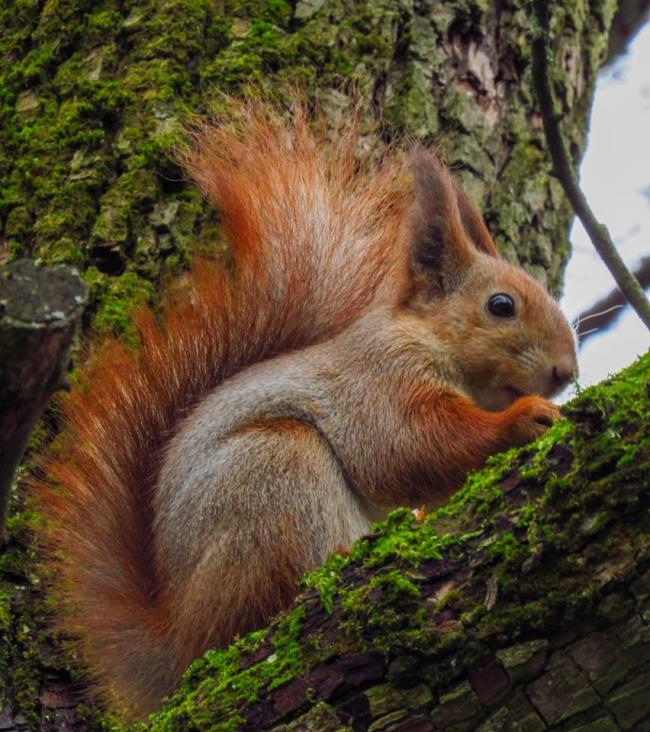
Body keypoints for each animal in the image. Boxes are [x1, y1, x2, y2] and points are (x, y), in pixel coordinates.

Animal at [37, 101, 577, 716]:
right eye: (501, 305)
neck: (424, 337)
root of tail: (177, 642)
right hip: (273, 471)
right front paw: (525, 419)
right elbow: (413, 448)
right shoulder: (379, 385)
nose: (566, 372)